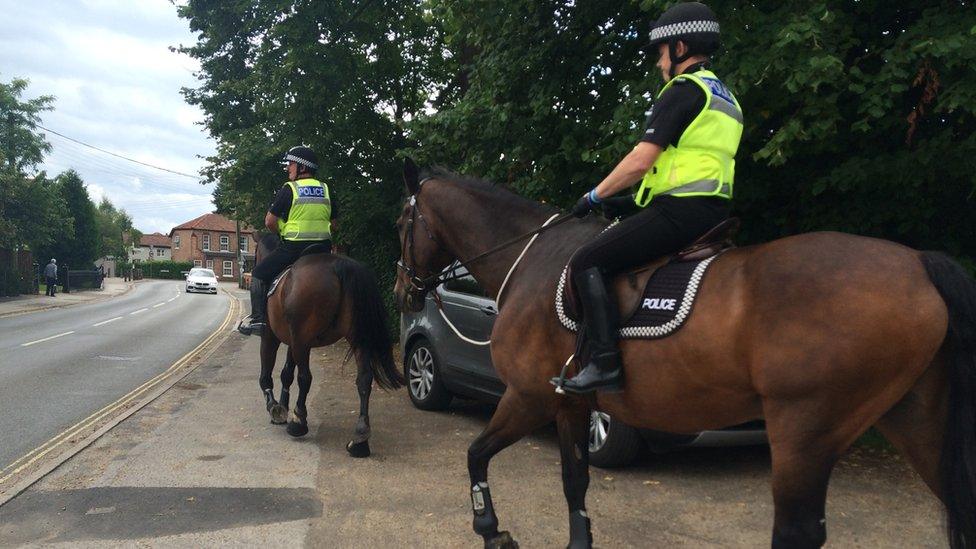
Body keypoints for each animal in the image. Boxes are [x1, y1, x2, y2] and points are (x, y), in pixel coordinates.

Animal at [255, 233, 404, 456]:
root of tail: (339, 265)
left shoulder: (273, 335)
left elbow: (269, 372)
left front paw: (275, 407)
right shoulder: (294, 340)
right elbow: (286, 373)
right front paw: (282, 405)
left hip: (302, 339)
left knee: (305, 377)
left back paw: (299, 421)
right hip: (356, 338)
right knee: (364, 379)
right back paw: (360, 439)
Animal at [394, 162, 976, 548]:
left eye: (402, 225)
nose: (403, 291)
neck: (530, 258)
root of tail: (918, 265)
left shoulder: (529, 396)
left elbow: (475, 454)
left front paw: (490, 529)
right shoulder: (569, 405)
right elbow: (574, 481)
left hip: (805, 433)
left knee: (796, 531)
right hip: (914, 422)